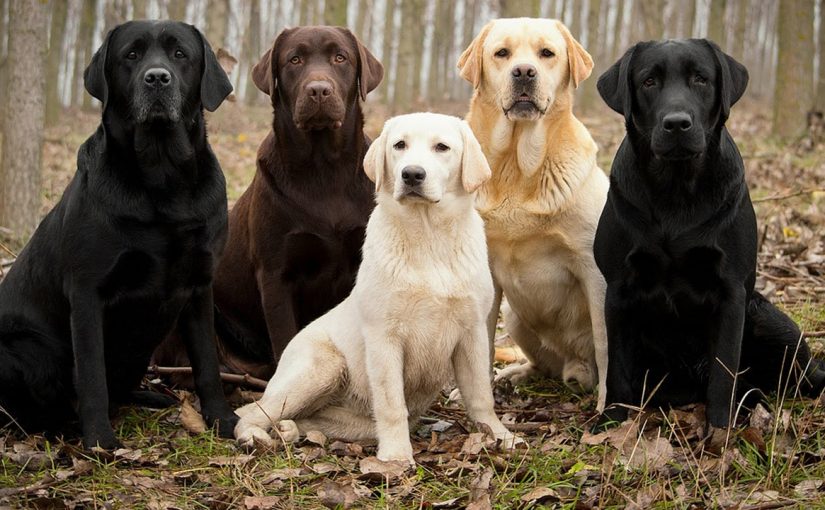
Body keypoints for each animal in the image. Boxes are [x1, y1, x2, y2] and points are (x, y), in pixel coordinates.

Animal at [0, 19, 238, 446]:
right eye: (131, 55)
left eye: (180, 54)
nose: (156, 78)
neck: (162, 175)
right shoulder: (87, 292)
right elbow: (92, 374)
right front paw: (99, 440)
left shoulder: (200, 284)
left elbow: (208, 364)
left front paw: (222, 419)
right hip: (25, 349)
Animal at [154, 27, 384, 378]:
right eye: (295, 59)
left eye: (340, 57)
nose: (319, 90)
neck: (323, 171)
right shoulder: (276, 274)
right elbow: (286, 338)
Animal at [232, 113, 520, 464]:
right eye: (400, 145)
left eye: (442, 147)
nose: (412, 174)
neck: (428, 237)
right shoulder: (385, 338)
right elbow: (392, 404)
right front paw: (396, 456)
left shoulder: (472, 332)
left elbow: (480, 395)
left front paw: (498, 435)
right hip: (324, 366)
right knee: (250, 410)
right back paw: (253, 437)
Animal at [460, 19, 608, 410]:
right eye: (502, 53)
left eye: (547, 53)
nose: (524, 72)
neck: (516, 165)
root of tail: (575, 365)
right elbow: (481, 342)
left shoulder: (594, 269)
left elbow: (606, 345)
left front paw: (609, 406)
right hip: (514, 316)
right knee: (544, 365)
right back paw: (517, 374)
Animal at [596, 40, 820, 430]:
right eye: (649, 81)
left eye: (701, 78)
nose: (676, 124)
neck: (676, 189)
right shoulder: (619, 290)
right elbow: (617, 370)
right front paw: (611, 423)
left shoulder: (731, 291)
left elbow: (723, 371)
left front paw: (719, 430)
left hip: (770, 321)